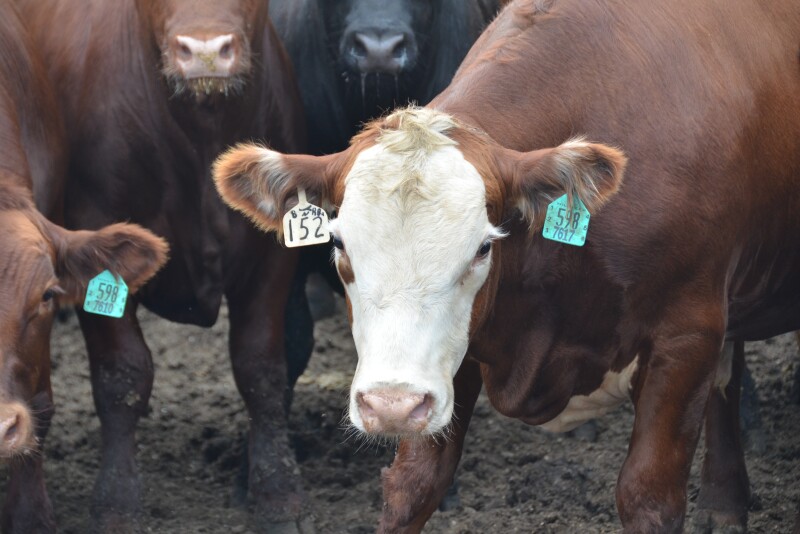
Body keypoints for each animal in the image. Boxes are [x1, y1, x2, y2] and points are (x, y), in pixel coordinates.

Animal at [213, 0, 800, 531]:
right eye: (338, 245)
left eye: (482, 248)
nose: (392, 406)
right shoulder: (452, 357)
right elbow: (411, 488)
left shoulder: (686, 338)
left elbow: (648, 497)